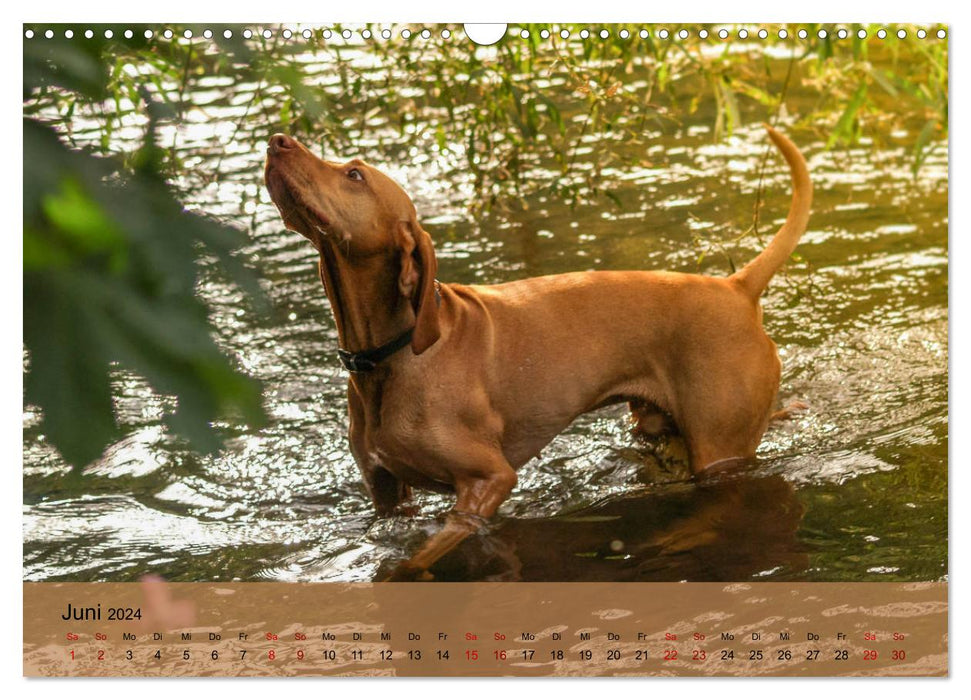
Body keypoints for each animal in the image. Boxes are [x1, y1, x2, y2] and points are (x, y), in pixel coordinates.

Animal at [266, 124, 812, 580]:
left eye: (354, 175)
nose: (276, 141)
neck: (389, 357)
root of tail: (736, 287)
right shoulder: (387, 495)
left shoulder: (486, 481)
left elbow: (420, 556)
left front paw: (410, 572)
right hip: (661, 425)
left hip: (719, 449)